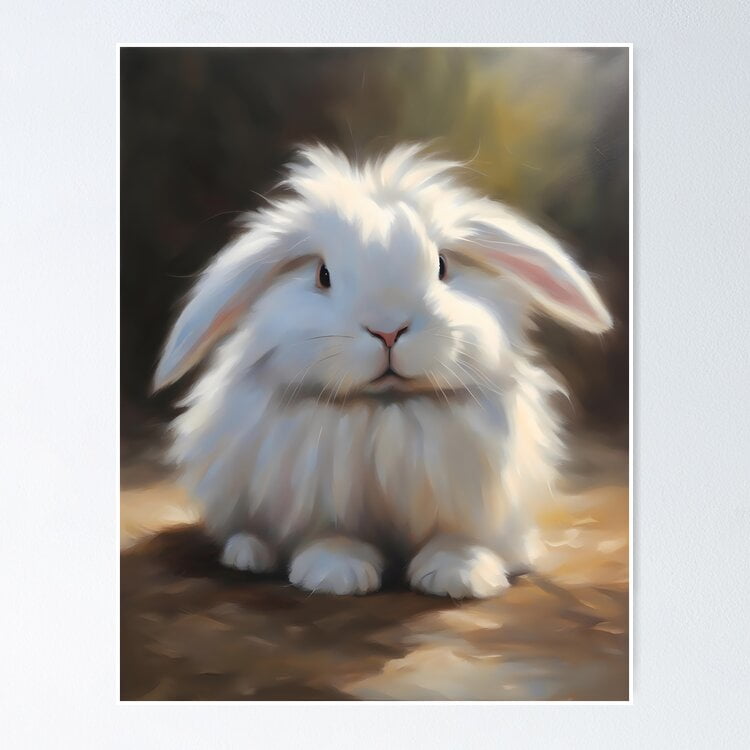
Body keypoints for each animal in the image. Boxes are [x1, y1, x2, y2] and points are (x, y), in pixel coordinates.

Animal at [153, 143, 612, 598]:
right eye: (323, 275)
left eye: (442, 266)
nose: (388, 330)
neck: (388, 407)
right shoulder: (319, 499)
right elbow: (331, 535)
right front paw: (337, 573)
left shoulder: (471, 501)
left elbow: (457, 537)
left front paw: (459, 576)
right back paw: (248, 553)